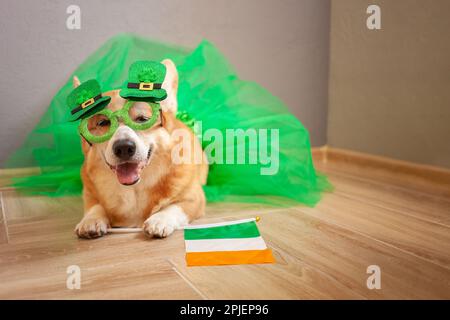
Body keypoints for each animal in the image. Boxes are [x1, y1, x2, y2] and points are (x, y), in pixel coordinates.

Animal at [74, 60, 208, 239]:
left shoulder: (194, 199)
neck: (134, 189)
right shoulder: (90, 195)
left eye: (143, 119)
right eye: (103, 123)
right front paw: (90, 221)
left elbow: (174, 207)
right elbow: (95, 206)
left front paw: (159, 220)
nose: (124, 148)